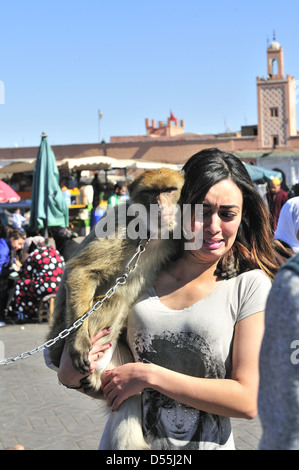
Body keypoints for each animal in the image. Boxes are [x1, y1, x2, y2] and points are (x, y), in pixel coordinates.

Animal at [47, 169, 185, 452]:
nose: (161, 206)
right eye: (150, 193)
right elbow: (81, 271)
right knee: (117, 300)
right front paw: (78, 343)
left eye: (169, 190)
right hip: (60, 339)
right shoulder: (121, 225)